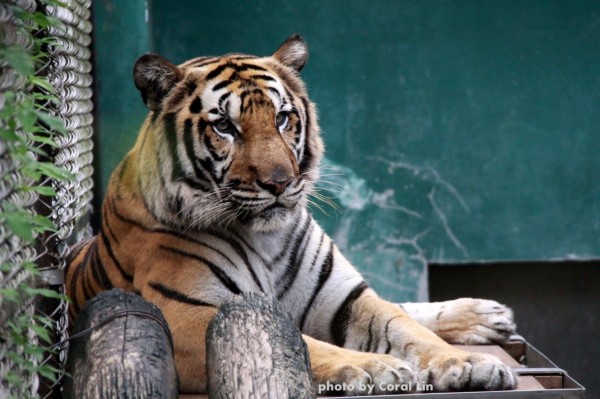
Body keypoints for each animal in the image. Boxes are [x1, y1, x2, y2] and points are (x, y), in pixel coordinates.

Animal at [64, 33, 516, 394]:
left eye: (282, 118)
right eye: (225, 126)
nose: (279, 183)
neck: (266, 238)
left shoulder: (346, 298)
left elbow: (405, 328)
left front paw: (466, 363)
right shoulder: (184, 315)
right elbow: (305, 344)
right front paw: (376, 367)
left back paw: (488, 317)